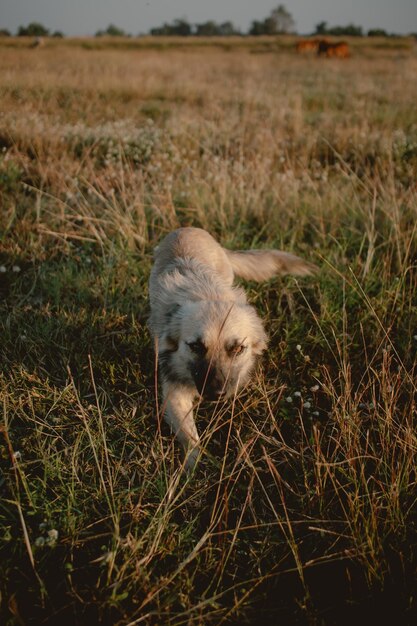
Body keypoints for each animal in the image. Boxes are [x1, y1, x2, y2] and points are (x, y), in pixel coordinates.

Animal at [148, 225, 314, 468]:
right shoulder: (174, 391)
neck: (206, 293)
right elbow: (191, 440)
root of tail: (189, 228)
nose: (215, 394)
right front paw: (192, 470)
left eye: (237, 349)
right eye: (195, 346)